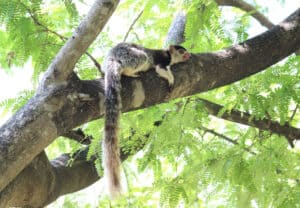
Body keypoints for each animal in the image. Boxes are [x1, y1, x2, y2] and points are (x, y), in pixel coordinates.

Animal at [101, 42, 190, 197]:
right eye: (181, 51)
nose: (188, 54)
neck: (170, 56)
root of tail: (112, 57)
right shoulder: (163, 59)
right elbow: (160, 69)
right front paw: (171, 78)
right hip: (131, 58)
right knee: (141, 57)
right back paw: (131, 72)